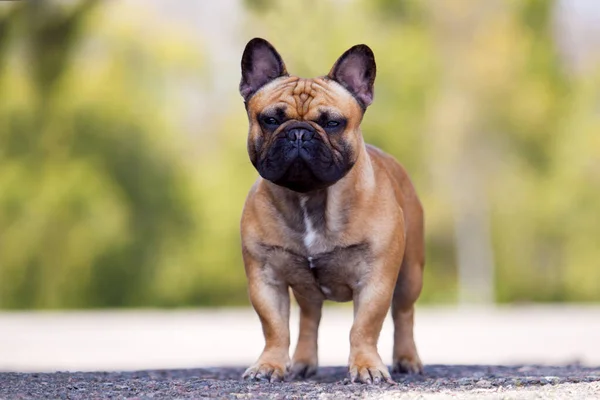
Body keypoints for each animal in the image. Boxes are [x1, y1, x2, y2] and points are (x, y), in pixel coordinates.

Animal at [238, 38, 422, 384]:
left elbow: (364, 326)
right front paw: (269, 364)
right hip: (308, 290)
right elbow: (275, 327)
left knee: (404, 314)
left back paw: (407, 359)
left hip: (410, 275)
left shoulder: (375, 278)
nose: (298, 132)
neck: (310, 197)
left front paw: (366, 366)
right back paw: (303, 363)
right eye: (270, 120)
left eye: (332, 123)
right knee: (310, 319)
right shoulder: (266, 278)